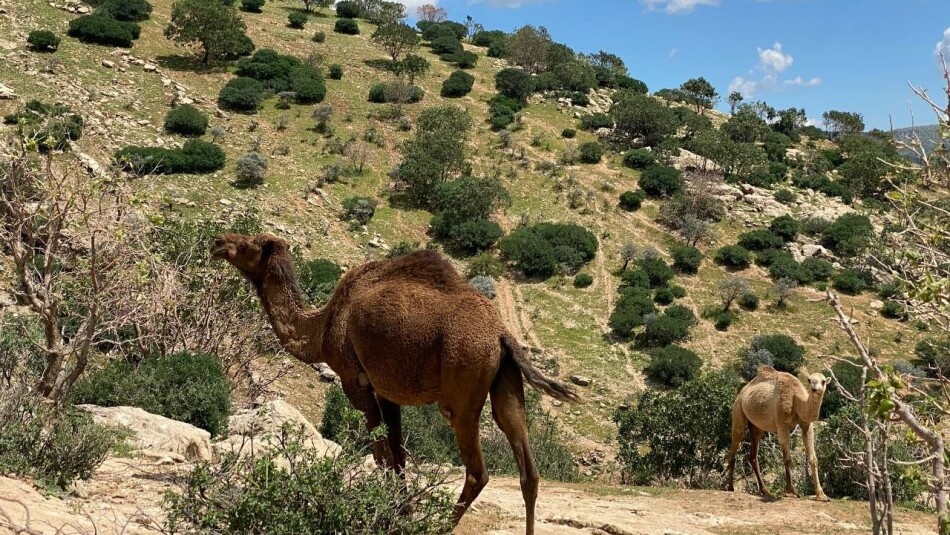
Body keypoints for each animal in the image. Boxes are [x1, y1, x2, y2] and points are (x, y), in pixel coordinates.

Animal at [210, 234, 580, 535]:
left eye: (250, 243)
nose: (218, 242)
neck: (323, 327)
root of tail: (502, 334)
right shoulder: (388, 391)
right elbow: (398, 455)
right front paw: (402, 511)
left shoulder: (355, 382)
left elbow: (381, 454)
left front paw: (389, 514)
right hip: (505, 381)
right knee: (527, 467)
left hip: (462, 384)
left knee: (478, 470)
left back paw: (436, 527)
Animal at [724, 366, 828, 500]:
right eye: (809, 380)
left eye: (823, 381)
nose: (814, 388)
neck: (797, 400)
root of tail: (742, 393)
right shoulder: (782, 424)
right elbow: (787, 458)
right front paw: (790, 492)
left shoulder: (806, 425)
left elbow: (813, 459)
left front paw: (821, 495)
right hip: (738, 411)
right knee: (734, 446)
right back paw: (730, 487)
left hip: (756, 427)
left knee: (753, 456)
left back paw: (765, 491)